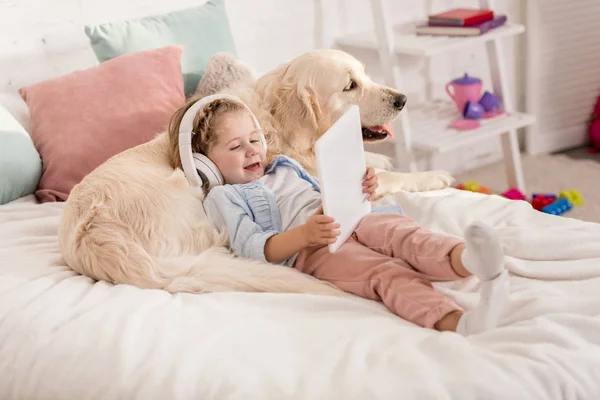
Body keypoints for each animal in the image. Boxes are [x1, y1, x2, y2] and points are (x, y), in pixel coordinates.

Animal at [61, 48, 452, 296]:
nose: (402, 99)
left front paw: (380, 163)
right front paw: (433, 175)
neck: (276, 124)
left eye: (366, 75)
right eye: (350, 86)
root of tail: (92, 239)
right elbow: (389, 179)